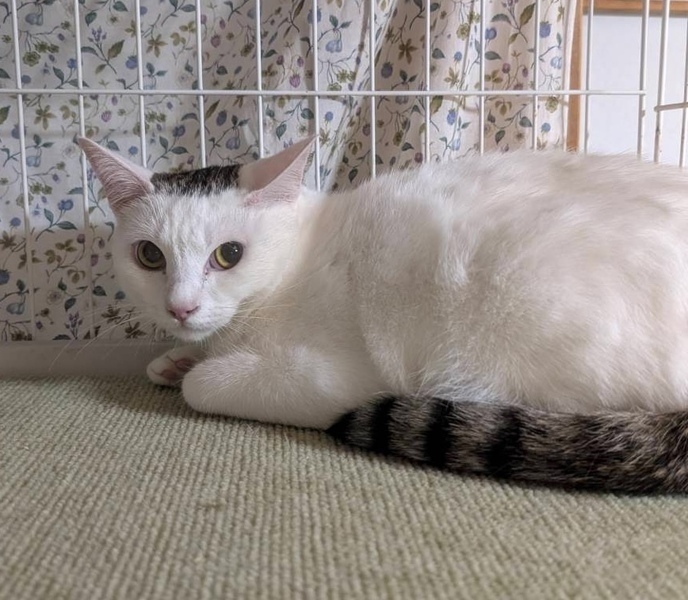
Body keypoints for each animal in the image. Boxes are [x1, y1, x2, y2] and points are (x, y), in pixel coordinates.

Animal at [79, 135, 688, 494]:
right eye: (149, 256)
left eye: (229, 255)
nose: (180, 307)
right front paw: (175, 358)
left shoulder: (333, 377)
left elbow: (204, 386)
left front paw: (194, 369)